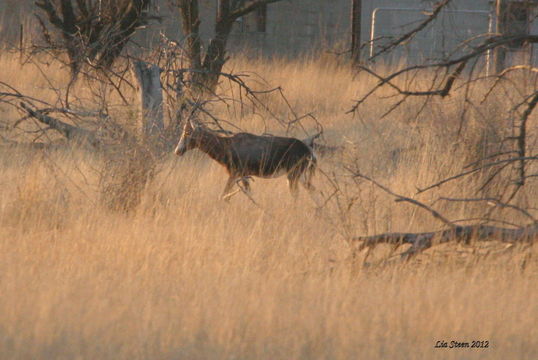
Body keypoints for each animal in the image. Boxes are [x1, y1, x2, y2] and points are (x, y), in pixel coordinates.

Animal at [174, 120, 316, 200]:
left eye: (187, 132)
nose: (178, 151)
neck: (228, 144)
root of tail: (308, 151)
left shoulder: (235, 175)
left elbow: (224, 195)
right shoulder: (244, 176)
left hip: (293, 176)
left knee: (296, 195)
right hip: (300, 176)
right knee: (313, 190)